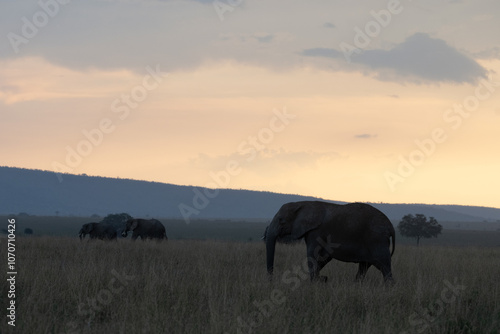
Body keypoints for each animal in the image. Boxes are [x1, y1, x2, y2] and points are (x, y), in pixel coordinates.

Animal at [266, 201, 394, 282]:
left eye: (281, 221)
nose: (271, 280)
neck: (302, 204)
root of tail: (390, 226)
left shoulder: (316, 231)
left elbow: (312, 255)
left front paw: (315, 282)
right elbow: (323, 258)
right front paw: (320, 279)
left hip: (377, 240)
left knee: (385, 267)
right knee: (364, 267)